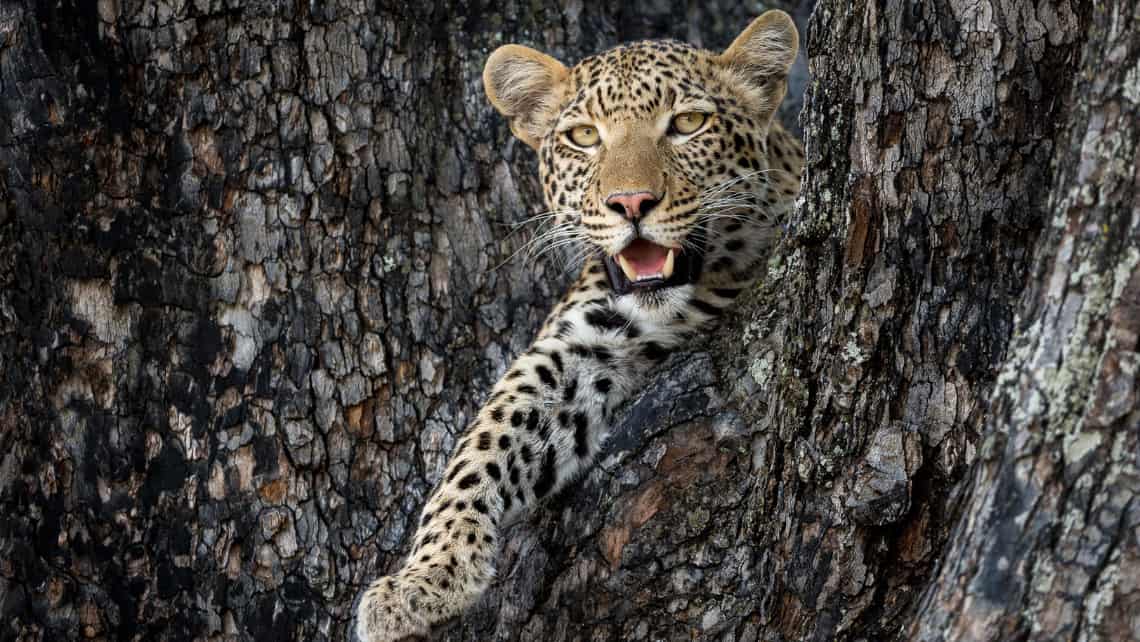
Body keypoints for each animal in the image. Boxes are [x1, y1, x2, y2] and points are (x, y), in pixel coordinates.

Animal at [351, 11, 807, 642]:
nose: (631, 203)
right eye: (585, 137)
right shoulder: (585, 342)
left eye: (688, 124)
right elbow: (485, 438)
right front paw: (428, 576)